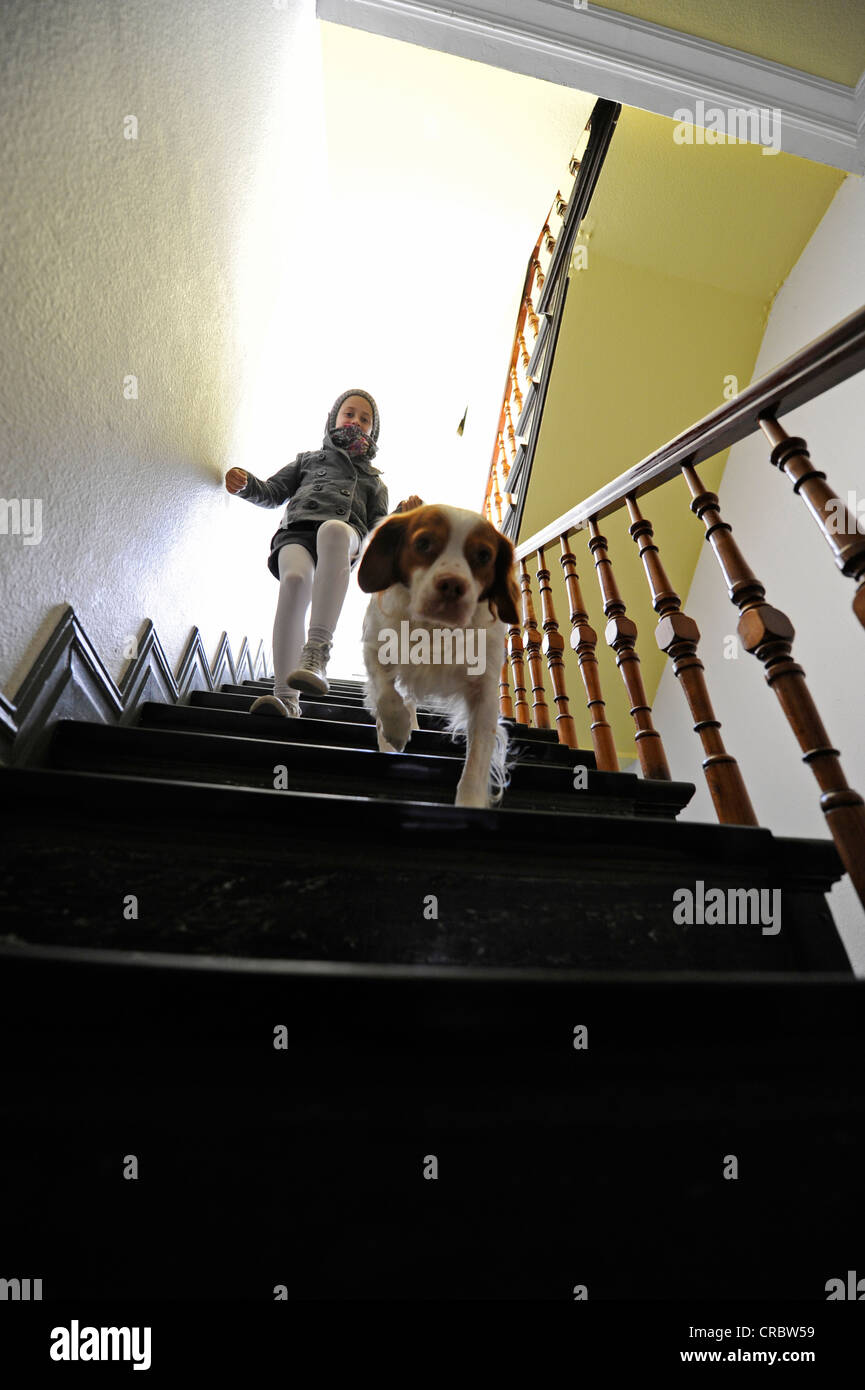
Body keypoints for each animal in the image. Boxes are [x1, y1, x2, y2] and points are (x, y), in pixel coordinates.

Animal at [358, 503, 522, 811]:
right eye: (423, 543)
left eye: (484, 555)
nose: (452, 586)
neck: (435, 629)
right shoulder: (373, 646)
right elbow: (387, 694)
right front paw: (396, 728)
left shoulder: (484, 692)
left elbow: (477, 759)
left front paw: (469, 803)